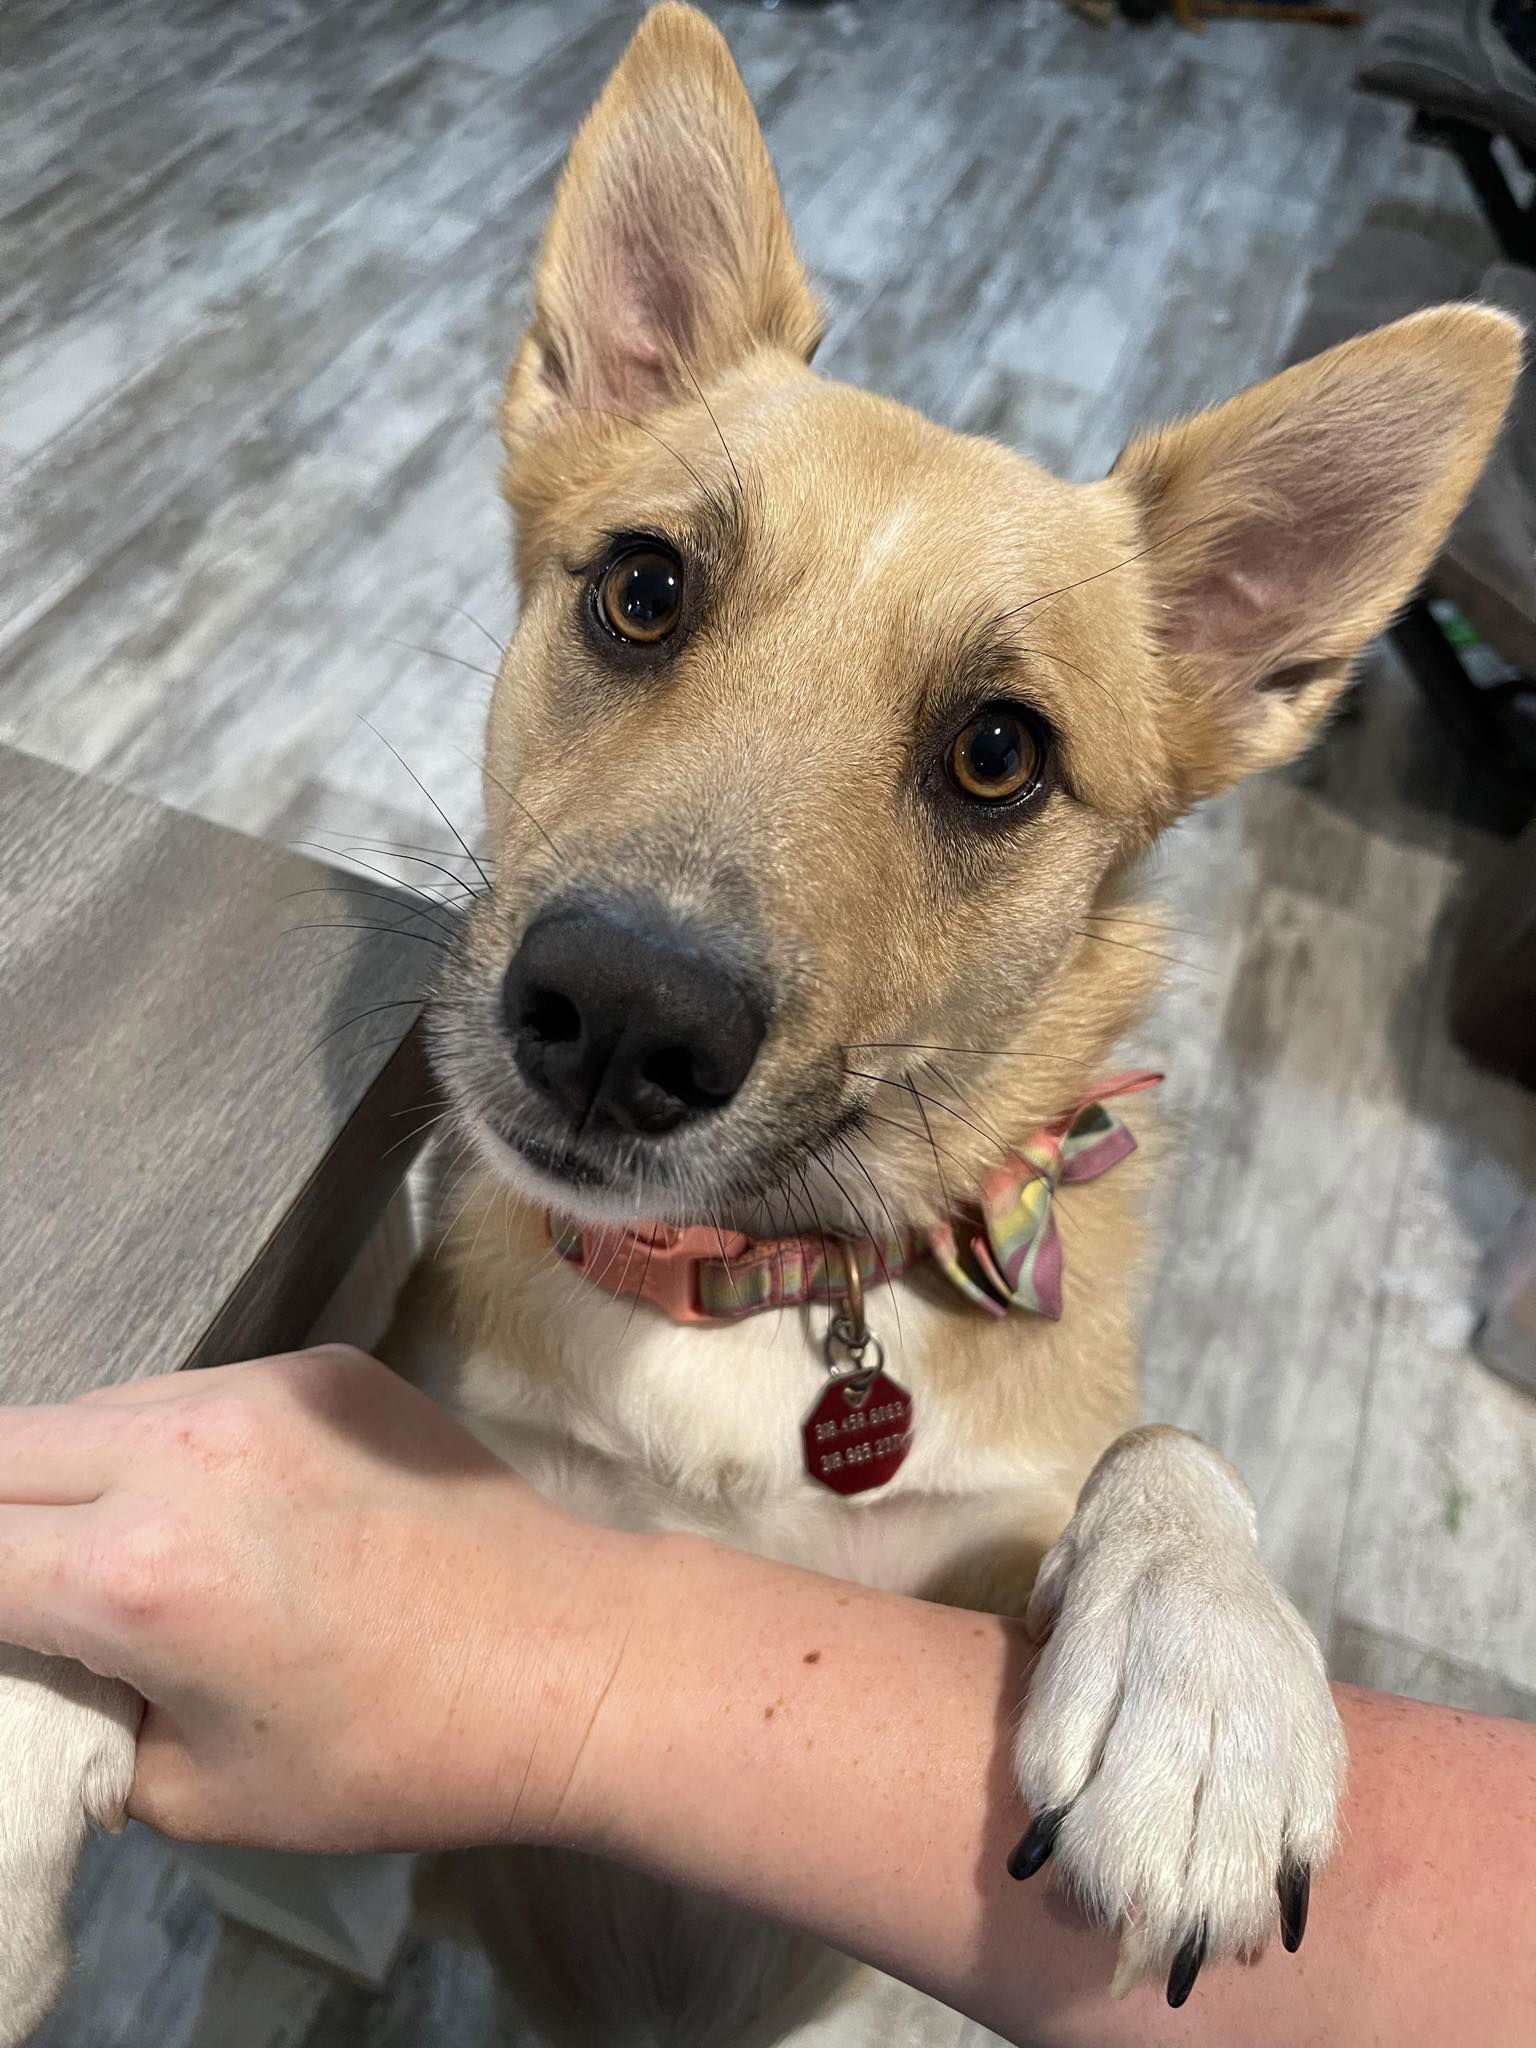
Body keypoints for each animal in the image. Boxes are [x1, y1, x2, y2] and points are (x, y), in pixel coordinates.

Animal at [0, 4, 1515, 2048]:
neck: (746, 1288)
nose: (616, 1016)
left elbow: (1161, 1444)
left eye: (998, 753)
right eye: (645, 588)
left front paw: (1208, 1686)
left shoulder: (963, 1554)